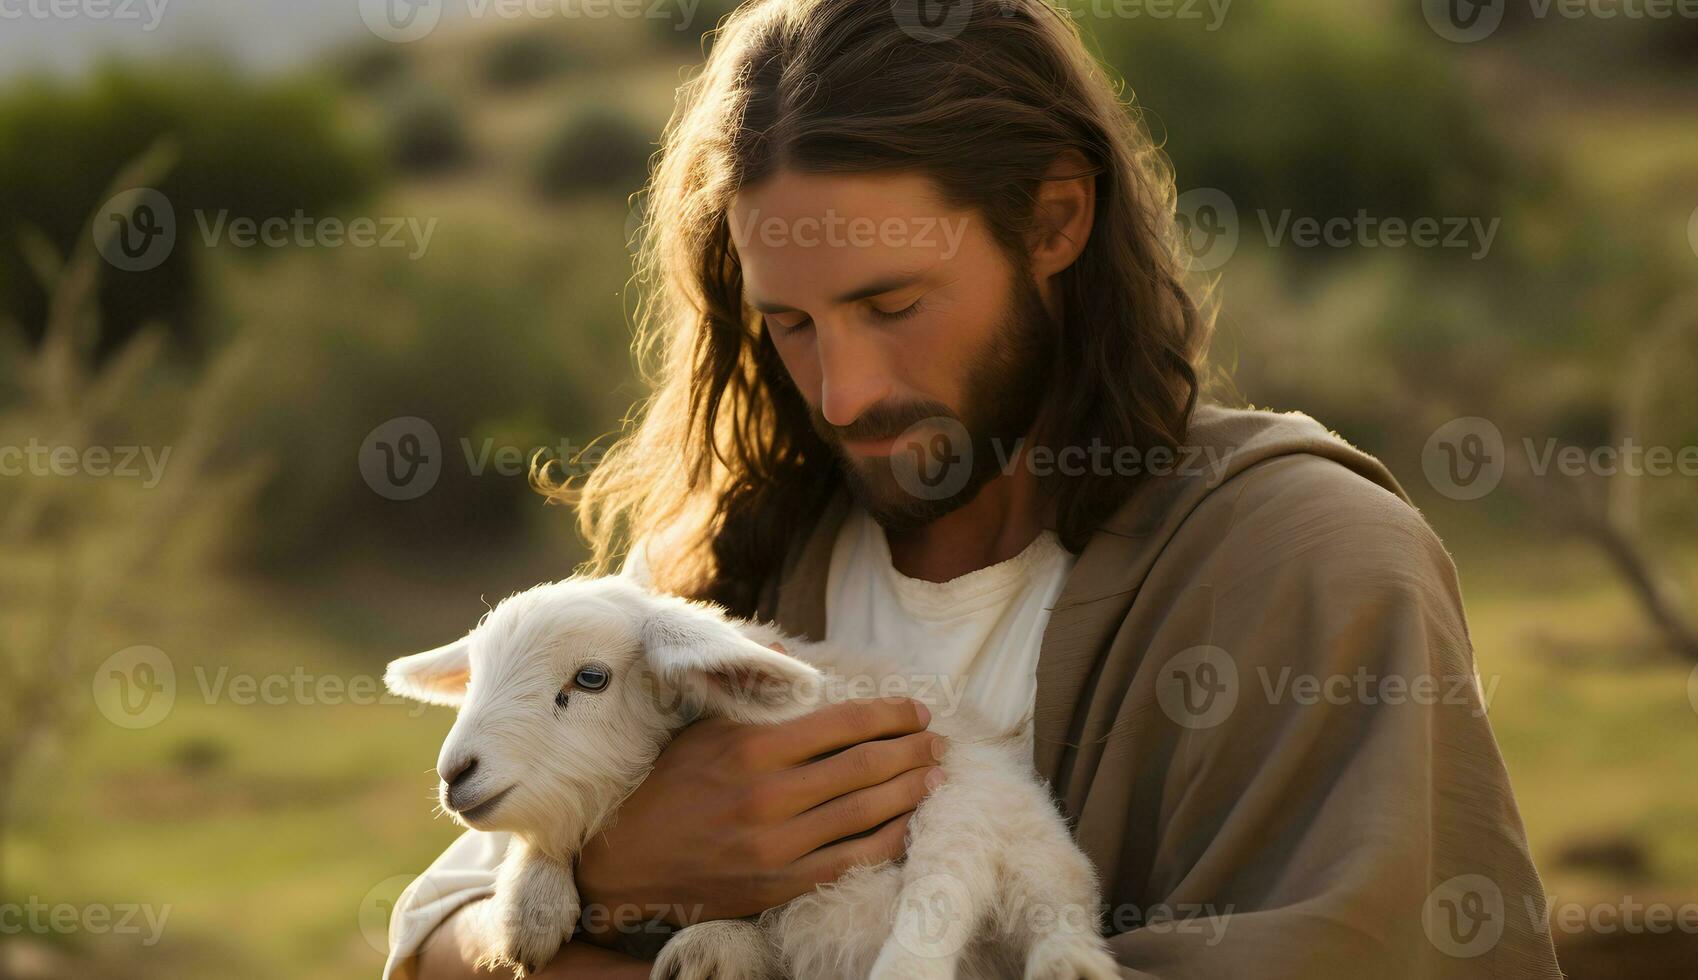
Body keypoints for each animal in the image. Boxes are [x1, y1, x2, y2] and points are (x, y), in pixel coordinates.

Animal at [388, 574, 1120, 978]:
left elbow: (941, 890)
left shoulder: (946, 780)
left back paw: (1062, 967)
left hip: (991, 814)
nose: (456, 772)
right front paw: (530, 911)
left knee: (991, 897)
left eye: (590, 679)